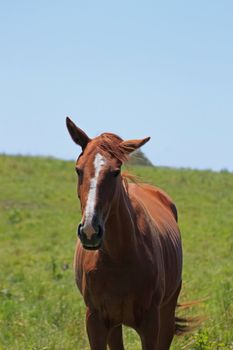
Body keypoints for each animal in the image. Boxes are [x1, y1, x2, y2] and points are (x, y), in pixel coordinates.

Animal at [66, 118, 185, 350]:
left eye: (115, 172)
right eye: (78, 170)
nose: (90, 230)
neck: (119, 258)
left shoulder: (150, 323)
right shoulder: (95, 321)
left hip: (167, 310)